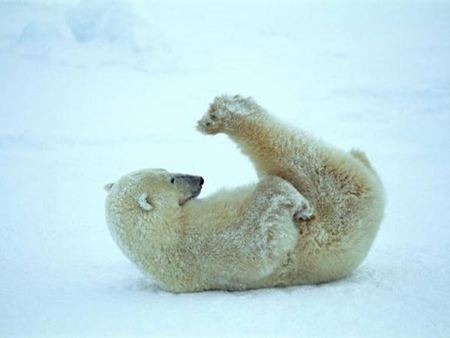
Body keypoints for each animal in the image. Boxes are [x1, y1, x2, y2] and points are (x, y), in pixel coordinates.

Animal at [104, 93, 384, 292]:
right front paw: (297, 203)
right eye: (171, 179)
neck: (161, 236)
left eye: (166, 169)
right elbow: (261, 228)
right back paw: (221, 114)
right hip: (340, 197)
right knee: (295, 153)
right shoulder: (207, 244)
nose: (200, 179)